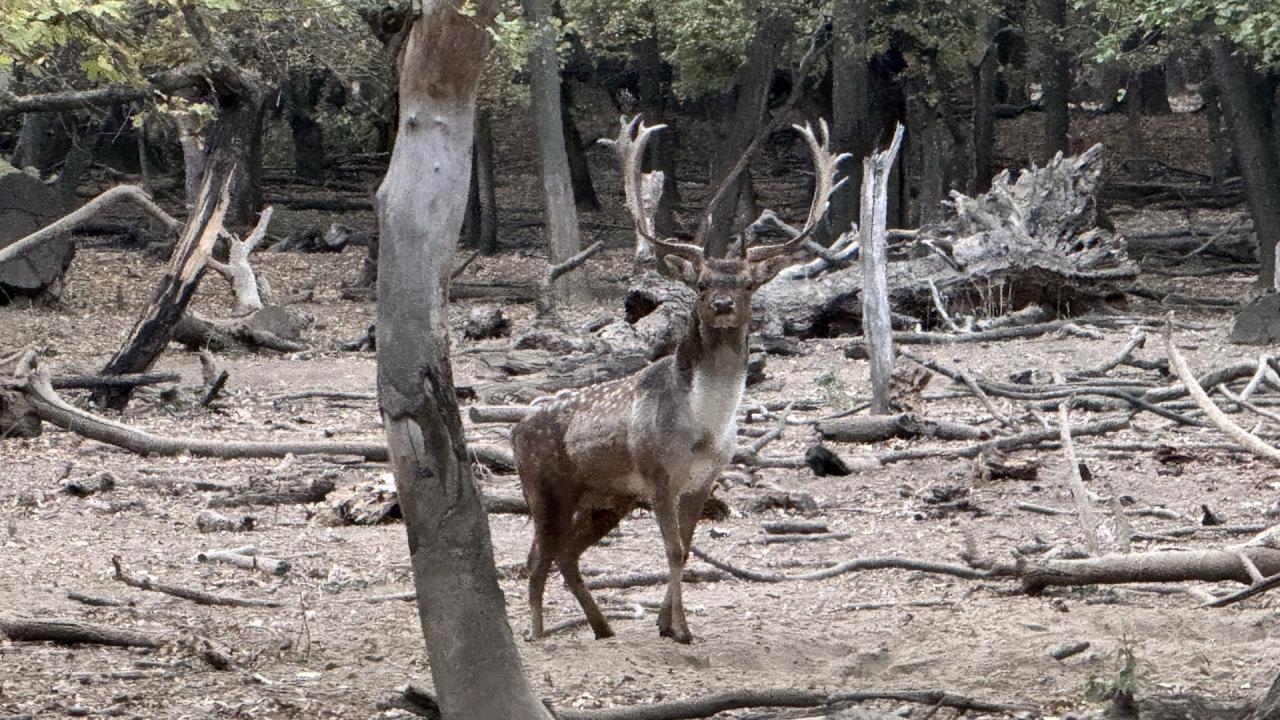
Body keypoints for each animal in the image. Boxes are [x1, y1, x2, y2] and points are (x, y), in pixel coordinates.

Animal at [509, 116, 849, 638]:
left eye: (747, 283)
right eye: (702, 283)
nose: (724, 304)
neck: (703, 429)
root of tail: (514, 429)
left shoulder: (704, 481)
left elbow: (685, 550)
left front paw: (667, 625)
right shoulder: (658, 475)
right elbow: (671, 549)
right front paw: (681, 629)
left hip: (607, 499)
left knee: (566, 554)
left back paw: (603, 628)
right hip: (543, 487)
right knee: (535, 559)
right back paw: (539, 633)